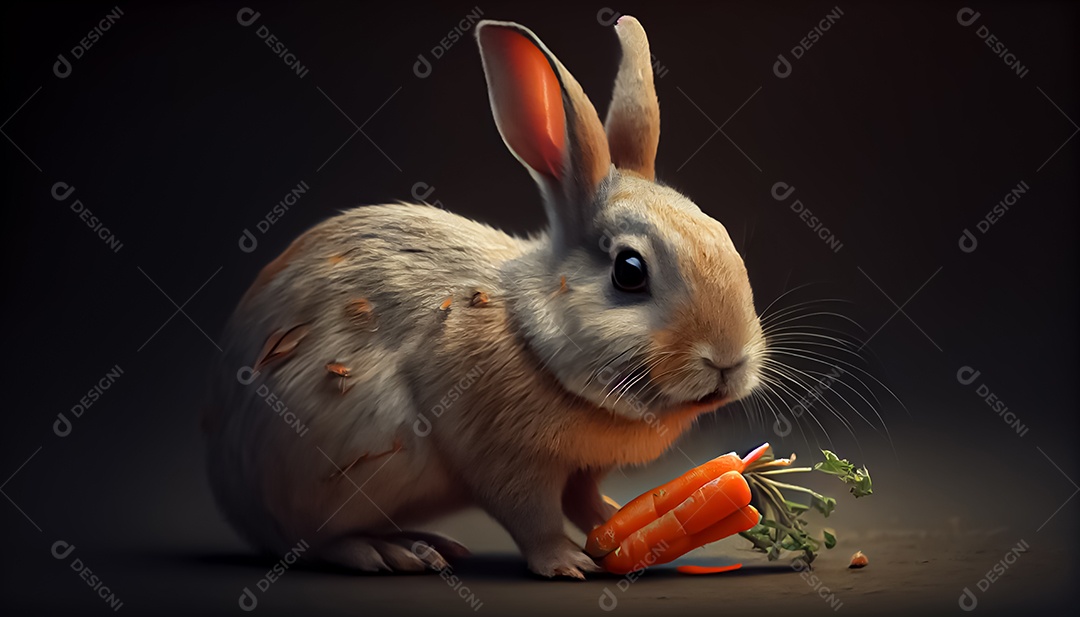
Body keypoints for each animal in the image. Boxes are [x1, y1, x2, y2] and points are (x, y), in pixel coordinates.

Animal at [203, 15, 765, 579]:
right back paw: (391, 551)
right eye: (629, 271)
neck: (532, 341)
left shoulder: (581, 469)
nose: (728, 360)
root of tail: (231, 487)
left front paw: (614, 523)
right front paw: (567, 563)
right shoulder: (506, 458)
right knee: (313, 542)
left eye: (724, 237)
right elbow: (530, 514)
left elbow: (584, 501)